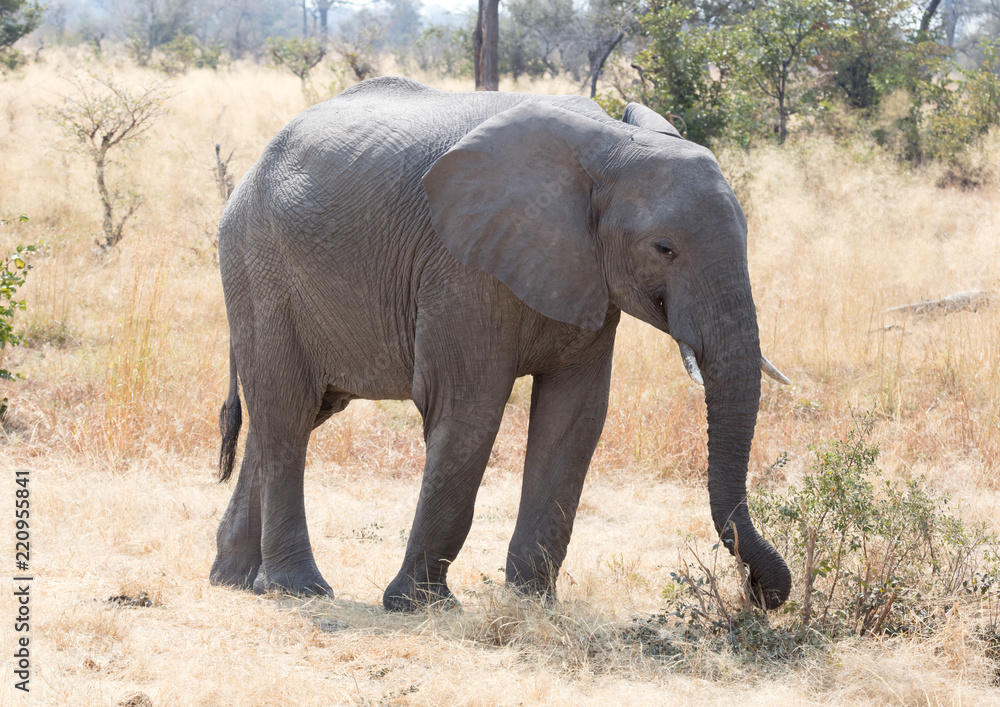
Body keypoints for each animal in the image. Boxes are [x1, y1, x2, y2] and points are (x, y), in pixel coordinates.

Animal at [210, 76, 793, 612]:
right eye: (664, 248)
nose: (757, 594)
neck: (608, 146)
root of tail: (251, 172)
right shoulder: (461, 267)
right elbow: (468, 411)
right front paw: (419, 605)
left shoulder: (587, 278)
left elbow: (575, 417)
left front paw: (532, 602)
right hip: (260, 269)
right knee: (288, 412)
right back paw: (300, 590)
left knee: (293, 414)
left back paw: (234, 581)